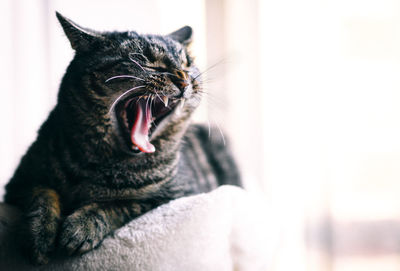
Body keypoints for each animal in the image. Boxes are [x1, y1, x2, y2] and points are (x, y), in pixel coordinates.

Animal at [3, 12, 241, 266]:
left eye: (187, 64)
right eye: (145, 60)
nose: (185, 80)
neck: (104, 166)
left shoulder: (177, 195)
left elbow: (121, 204)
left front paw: (81, 226)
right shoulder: (19, 182)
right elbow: (42, 194)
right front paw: (39, 235)